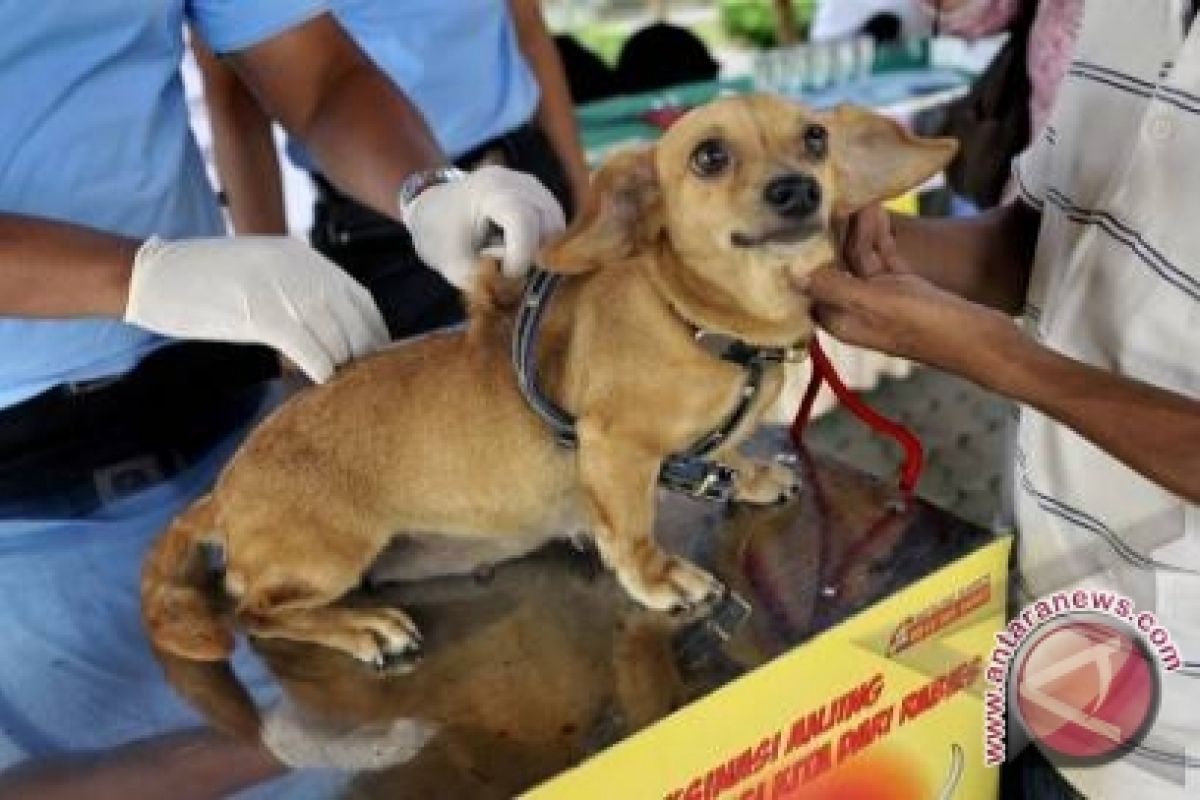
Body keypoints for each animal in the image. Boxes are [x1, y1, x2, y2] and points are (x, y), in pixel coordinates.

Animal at [140, 94, 955, 738]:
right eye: (709, 155)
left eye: (815, 138)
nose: (798, 190)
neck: (699, 320)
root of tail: (221, 493)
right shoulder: (614, 449)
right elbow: (630, 533)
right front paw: (660, 576)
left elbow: (717, 459)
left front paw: (743, 472)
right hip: (328, 556)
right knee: (252, 613)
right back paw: (357, 625)